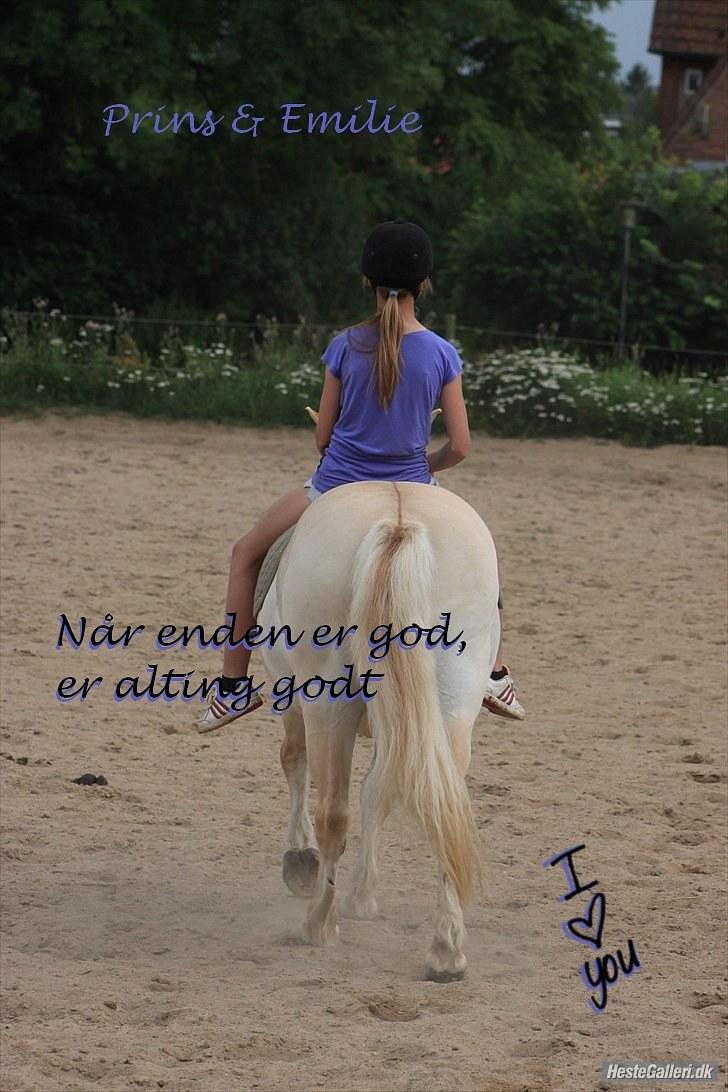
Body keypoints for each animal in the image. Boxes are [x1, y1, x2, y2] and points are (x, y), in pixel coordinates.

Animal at [258, 479, 500, 980]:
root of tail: (399, 522)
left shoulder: (290, 697)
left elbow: (295, 763)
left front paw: (300, 861)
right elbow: (378, 791)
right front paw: (362, 896)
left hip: (326, 703)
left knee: (333, 809)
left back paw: (319, 923)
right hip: (452, 702)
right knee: (444, 808)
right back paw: (446, 951)